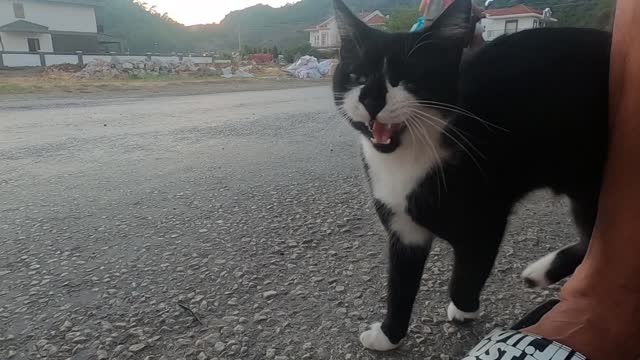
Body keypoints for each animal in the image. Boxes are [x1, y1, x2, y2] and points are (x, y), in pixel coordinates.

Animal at [332, 0, 612, 352]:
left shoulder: (486, 222)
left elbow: (466, 274)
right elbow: (399, 286)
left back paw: (542, 272)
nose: (370, 99)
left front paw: (464, 309)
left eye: (407, 77)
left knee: (597, 241)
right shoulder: (402, 229)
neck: (409, 157)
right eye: (357, 76)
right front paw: (389, 335)